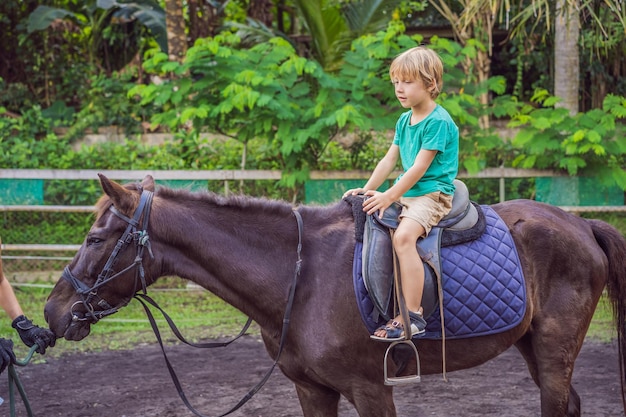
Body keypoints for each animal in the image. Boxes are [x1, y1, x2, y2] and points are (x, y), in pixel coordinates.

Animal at [44, 174, 624, 414]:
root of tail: (581, 224)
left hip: (553, 350)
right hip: (532, 346)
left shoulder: (371, 389)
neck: (299, 280)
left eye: (94, 239)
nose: (52, 312)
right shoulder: (312, 391)